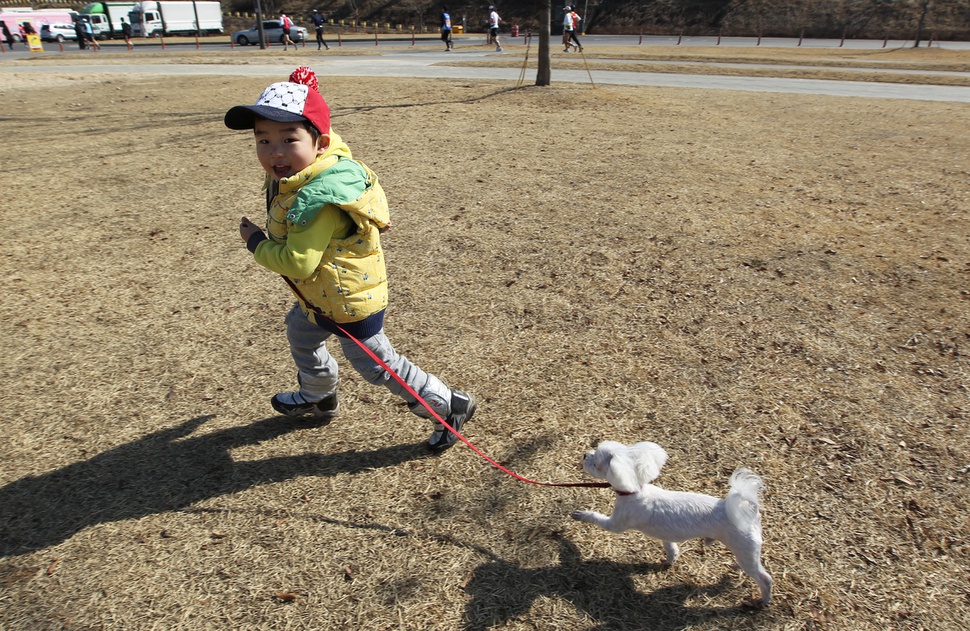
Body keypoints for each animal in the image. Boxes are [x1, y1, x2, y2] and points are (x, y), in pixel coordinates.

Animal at [568, 440, 772, 608]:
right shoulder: (666, 535)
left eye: (596, 462)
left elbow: (596, 518)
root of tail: (750, 511)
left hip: (744, 548)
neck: (635, 491)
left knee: (765, 578)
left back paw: (763, 600)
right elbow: (671, 548)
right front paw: (669, 560)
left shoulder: (616, 524)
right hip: (743, 551)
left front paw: (580, 515)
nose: (585, 455)